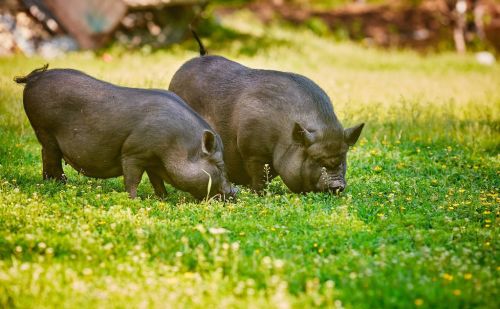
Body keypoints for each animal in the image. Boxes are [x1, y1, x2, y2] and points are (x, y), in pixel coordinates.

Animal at [14, 65, 234, 200]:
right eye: (218, 165)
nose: (235, 192)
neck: (178, 145)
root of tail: (34, 77)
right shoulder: (132, 153)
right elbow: (132, 179)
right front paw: (135, 200)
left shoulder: (152, 160)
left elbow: (157, 181)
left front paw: (164, 198)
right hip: (45, 131)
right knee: (51, 158)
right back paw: (61, 184)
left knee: (45, 156)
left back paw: (50, 182)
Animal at [169, 33, 364, 192]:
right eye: (315, 159)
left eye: (343, 157)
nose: (337, 185)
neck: (283, 134)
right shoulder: (253, 151)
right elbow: (260, 175)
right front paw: (258, 193)